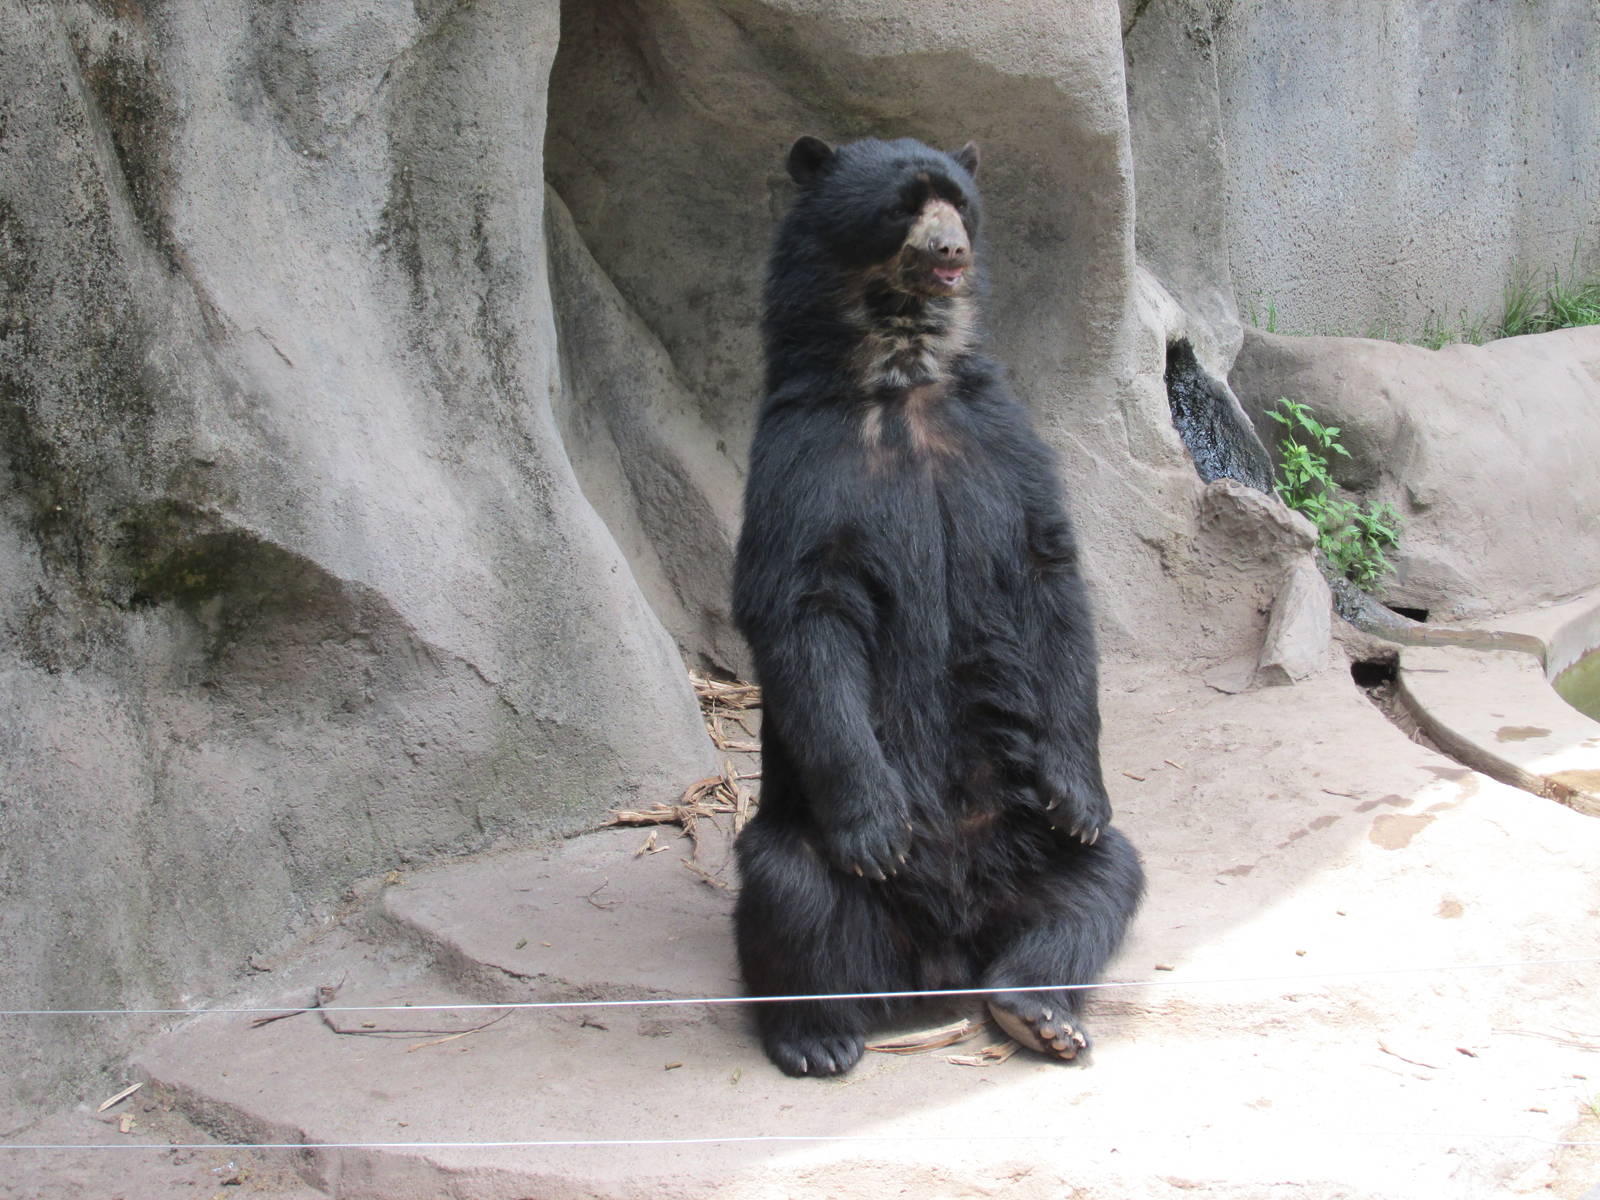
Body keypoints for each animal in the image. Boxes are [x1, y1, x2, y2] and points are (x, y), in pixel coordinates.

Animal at [731, 135, 1145, 1077]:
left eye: (959, 200)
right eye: (903, 207)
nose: (951, 249)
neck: (903, 380)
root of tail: (940, 957)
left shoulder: (1003, 440)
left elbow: (1050, 574)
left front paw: (1081, 793)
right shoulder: (802, 459)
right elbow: (800, 604)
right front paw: (878, 832)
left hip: (1034, 844)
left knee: (1099, 882)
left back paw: (1038, 1010)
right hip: (797, 844)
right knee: (786, 893)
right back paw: (816, 1035)